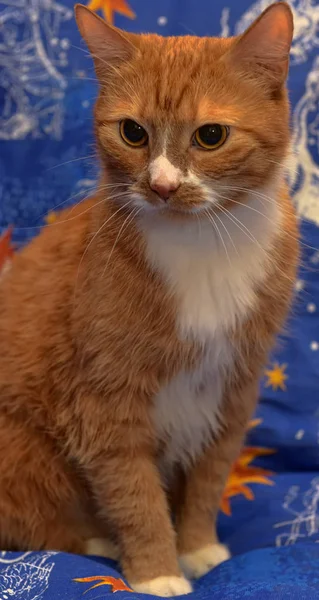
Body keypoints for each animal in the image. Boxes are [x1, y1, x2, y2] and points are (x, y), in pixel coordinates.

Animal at [0, 1, 300, 596]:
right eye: (133, 132)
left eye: (211, 135)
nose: (161, 186)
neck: (201, 244)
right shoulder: (105, 401)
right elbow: (134, 495)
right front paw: (158, 570)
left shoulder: (233, 386)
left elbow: (210, 477)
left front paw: (199, 547)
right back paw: (97, 544)